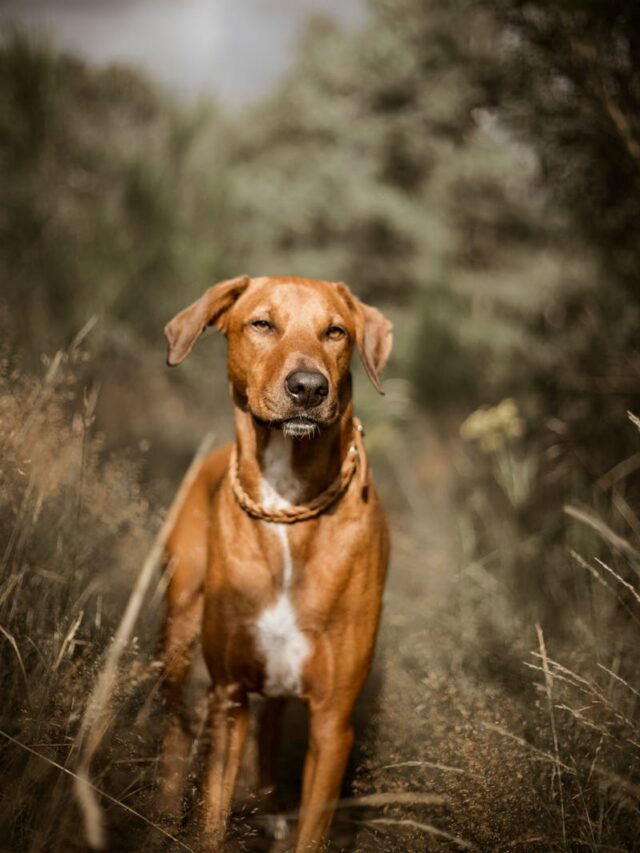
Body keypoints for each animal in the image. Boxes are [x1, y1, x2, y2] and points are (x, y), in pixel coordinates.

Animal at [158, 276, 392, 848]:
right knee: (173, 732)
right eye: (262, 324)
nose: (308, 388)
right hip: (178, 631)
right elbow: (211, 819)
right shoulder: (229, 698)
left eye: (336, 332)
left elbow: (311, 832)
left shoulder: (333, 720)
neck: (287, 504)